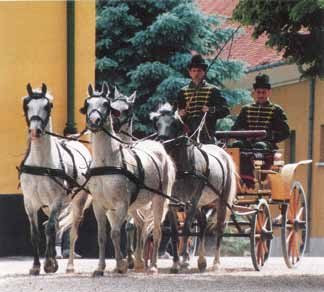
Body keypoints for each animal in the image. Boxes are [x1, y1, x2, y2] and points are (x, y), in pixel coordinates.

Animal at [19, 83, 92, 274]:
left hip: (77, 203)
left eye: (48, 106)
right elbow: (35, 233)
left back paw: (70, 265)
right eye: (26, 104)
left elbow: (51, 228)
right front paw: (36, 265)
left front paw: (50, 263)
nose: (35, 131)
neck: (41, 164)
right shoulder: (29, 203)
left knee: (71, 232)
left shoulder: (56, 201)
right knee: (53, 226)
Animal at [82, 83, 176, 274]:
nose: (94, 121)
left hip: (159, 200)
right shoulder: (100, 206)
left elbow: (116, 232)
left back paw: (152, 265)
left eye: (105, 104)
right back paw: (140, 261)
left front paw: (121, 265)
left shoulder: (121, 205)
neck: (108, 162)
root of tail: (160, 148)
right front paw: (101, 268)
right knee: (141, 225)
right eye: (87, 103)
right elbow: (103, 236)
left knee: (156, 231)